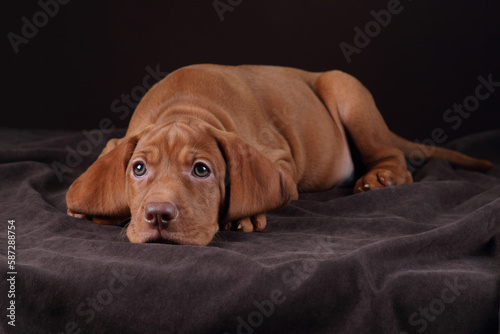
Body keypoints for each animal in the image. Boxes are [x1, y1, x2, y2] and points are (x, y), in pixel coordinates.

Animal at [65, 64, 492, 245]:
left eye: (202, 170)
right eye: (138, 168)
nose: (156, 216)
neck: (184, 107)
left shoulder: (279, 158)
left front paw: (245, 214)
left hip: (346, 90)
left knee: (394, 157)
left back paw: (380, 177)